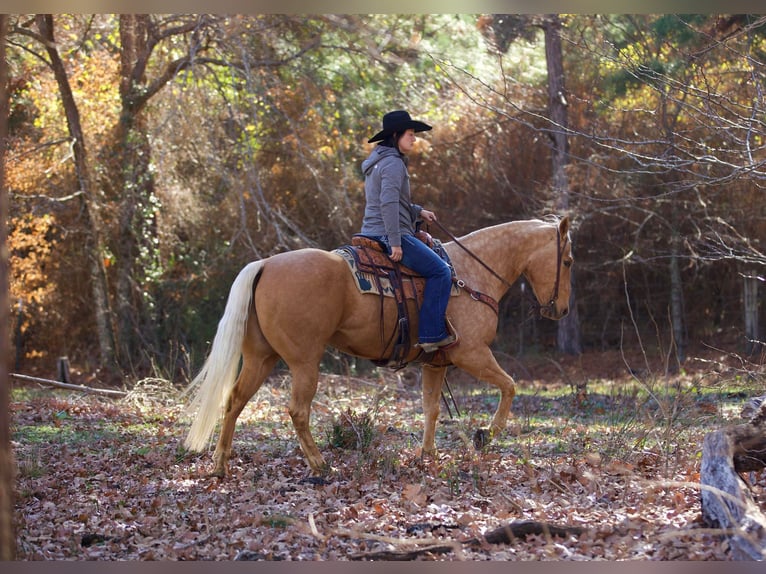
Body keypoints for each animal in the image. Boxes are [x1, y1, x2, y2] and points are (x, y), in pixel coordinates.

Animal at [183, 216, 572, 476]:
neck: (469, 276)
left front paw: (428, 456)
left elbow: (431, 409)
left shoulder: (436, 364)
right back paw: (320, 465)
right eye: (567, 261)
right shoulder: (472, 354)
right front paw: (485, 436)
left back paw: (220, 464)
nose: (562, 310)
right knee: (297, 410)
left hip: (261, 358)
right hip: (304, 362)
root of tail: (264, 264)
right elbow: (509, 386)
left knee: (234, 400)